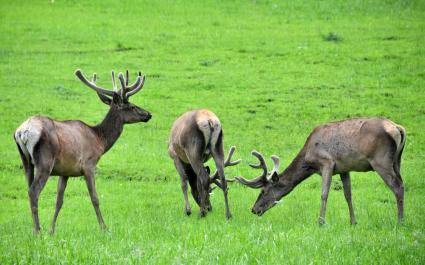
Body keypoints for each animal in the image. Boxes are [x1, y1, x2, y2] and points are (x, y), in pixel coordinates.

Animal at [14, 69, 152, 232]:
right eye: (131, 106)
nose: (148, 114)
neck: (100, 141)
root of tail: (23, 131)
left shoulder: (65, 171)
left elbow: (59, 201)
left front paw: (52, 230)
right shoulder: (89, 165)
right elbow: (95, 198)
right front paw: (104, 228)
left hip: (26, 161)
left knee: (29, 189)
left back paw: (35, 228)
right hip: (45, 162)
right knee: (33, 191)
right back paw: (37, 230)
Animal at [235, 116, 404, 224]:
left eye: (263, 191)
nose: (254, 209)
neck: (308, 160)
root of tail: (398, 128)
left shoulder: (327, 163)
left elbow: (324, 194)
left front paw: (321, 222)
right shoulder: (344, 168)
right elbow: (348, 195)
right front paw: (353, 222)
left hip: (380, 160)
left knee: (397, 186)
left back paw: (400, 221)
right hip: (396, 161)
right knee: (401, 183)